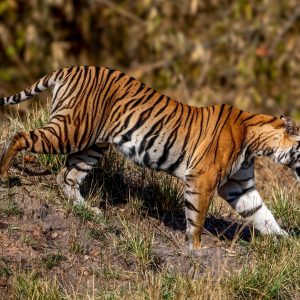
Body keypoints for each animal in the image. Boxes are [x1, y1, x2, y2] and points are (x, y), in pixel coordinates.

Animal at [0, 66, 300, 251]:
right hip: (71, 130)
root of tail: (70, 69)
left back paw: (88, 210)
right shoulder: (201, 180)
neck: (257, 143)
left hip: (92, 145)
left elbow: (263, 215)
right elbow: (197, 217)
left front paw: (288, 242)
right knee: (20, 136)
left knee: (67, 177)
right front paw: (196, 248)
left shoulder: (239, 186)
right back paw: (3, 175)